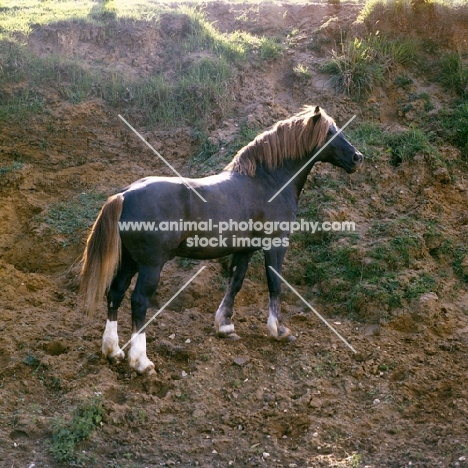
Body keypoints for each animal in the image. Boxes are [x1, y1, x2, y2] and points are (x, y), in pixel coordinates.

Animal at [80, 105, 364, 372]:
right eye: (330, 131)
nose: (357, 157)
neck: (267, 182)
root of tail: (125, 195)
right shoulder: (275, 244)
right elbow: (274, 284)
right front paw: (279, 330)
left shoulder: (245, 249)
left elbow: (235, 283)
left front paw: (224, 325)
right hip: (150, 266)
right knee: (139, 302)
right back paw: (141, 361)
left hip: (129, 262)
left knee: (115, 294)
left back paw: (113, 351)